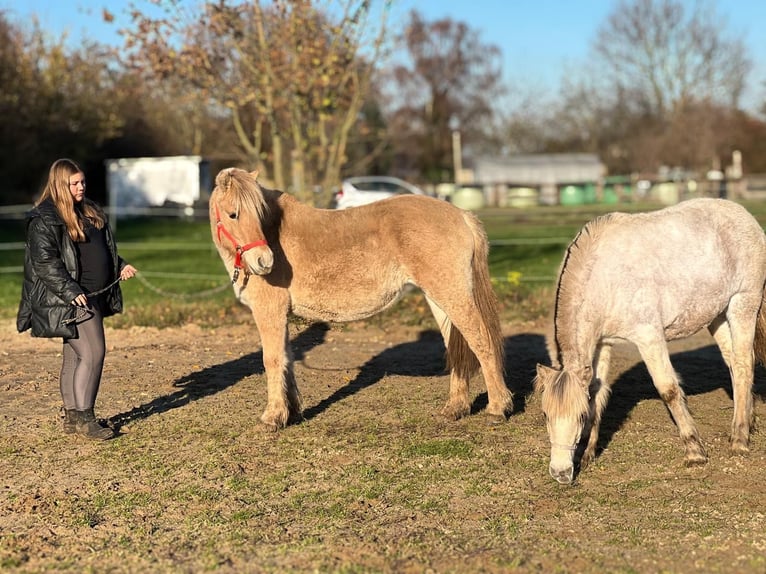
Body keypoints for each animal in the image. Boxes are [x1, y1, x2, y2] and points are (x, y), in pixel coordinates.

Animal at [209, 168, 512, 430]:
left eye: (259, 215)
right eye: (233, 214)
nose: (265, 262)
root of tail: (462, 215)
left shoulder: (268, 312)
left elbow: (272, 360)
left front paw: (272, 418)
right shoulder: (281, 316)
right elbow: (287, 360)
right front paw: (292, 412)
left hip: (453, 294)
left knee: (481, 342)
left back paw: (498, 408)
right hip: (439, 298)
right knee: (456, 345)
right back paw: (456, 408)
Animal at [534, 198, 766, 484]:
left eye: (579, 416)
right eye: (546, 414)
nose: (561, 473)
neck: (604, 276)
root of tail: (746, 218)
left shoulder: (648, 336)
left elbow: (668, 389)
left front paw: (695, 452)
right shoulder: (602, 343)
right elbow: (597, 391)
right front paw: (588, 454)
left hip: (743, 304)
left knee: (744, 364)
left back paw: (739, 440)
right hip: (717, 315)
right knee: (734, 365)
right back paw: (746, 422)